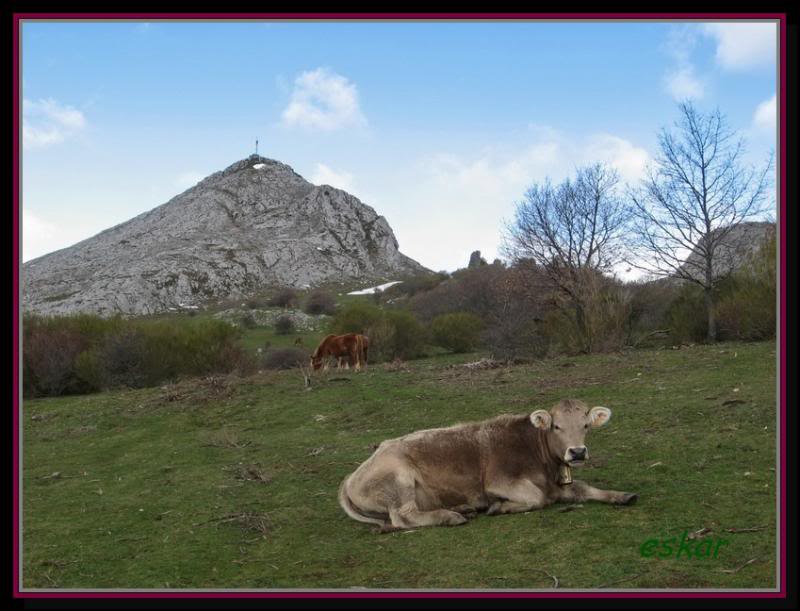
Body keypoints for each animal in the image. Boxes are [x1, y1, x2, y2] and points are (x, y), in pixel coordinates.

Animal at [338, 400, 636, 532]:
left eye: (585, 425)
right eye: (556, 426)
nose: (577, 452)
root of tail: (350, 477)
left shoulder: (556, 484)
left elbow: (583, 488)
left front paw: (621, 495)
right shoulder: (499, 481)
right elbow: (536, 498)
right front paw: (498, 506)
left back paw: (462, 508)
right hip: (398, 480)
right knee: (403, 517)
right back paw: (451, 516)